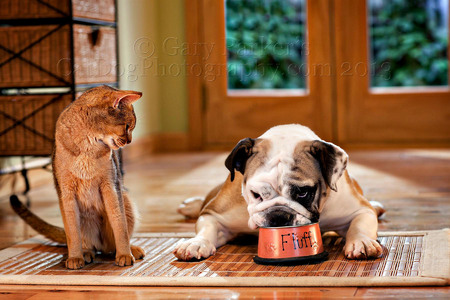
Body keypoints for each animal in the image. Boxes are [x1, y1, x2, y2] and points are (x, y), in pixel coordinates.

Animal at [10, 84, 145, 270]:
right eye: (127, 126)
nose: (130, 141)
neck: (88, 144)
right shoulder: (66, 191)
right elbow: (73, 233)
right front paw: (75, 257)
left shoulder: (111, 185)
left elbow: (120, 224)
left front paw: (125, 254)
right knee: (90, 244)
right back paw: (85, 253)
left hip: (126, 200)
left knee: (110, 246)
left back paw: (132, 250)